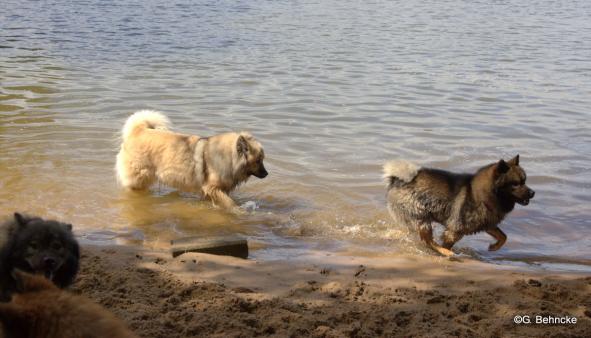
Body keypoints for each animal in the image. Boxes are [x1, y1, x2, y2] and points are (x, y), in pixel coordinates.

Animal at [384, 156, 536, 256]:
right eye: (515, 184)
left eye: (524, 181)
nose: (533, 192)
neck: (480, 195)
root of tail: (397, 179)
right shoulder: (456, 229)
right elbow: (448, 241)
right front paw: (447, 250)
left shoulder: (487, 223)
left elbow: (503, 236)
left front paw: (494, 247)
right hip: (422, 218)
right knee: (428, 241)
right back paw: (445, 252)